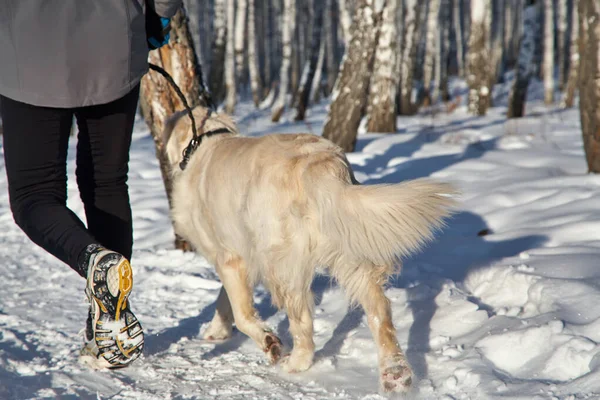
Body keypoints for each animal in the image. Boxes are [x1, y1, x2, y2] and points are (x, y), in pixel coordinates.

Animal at [162, 104, 458, 392]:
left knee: (302, 319)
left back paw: (296, 362)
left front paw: (267, 341)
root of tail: (320, 164)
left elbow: (242, 312)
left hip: (283, 262)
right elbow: (226, 300)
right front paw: (218, 330)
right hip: (348, 249)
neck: (204, 142)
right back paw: (395, 373)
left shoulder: (230, 256)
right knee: (379, 311)